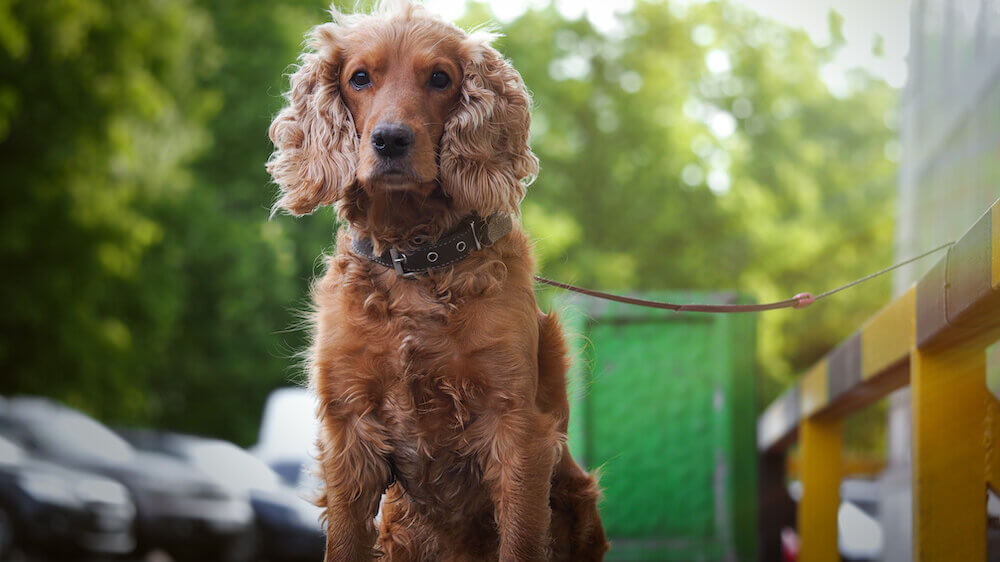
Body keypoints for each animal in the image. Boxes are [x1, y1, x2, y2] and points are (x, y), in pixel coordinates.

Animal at [266, 2, 604, 556]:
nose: (391, 140)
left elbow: (520, 539)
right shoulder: (349, 428)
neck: (415, 257)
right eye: (359, 78)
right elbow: (344, 542)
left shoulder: (516, 428)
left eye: (440, 78)